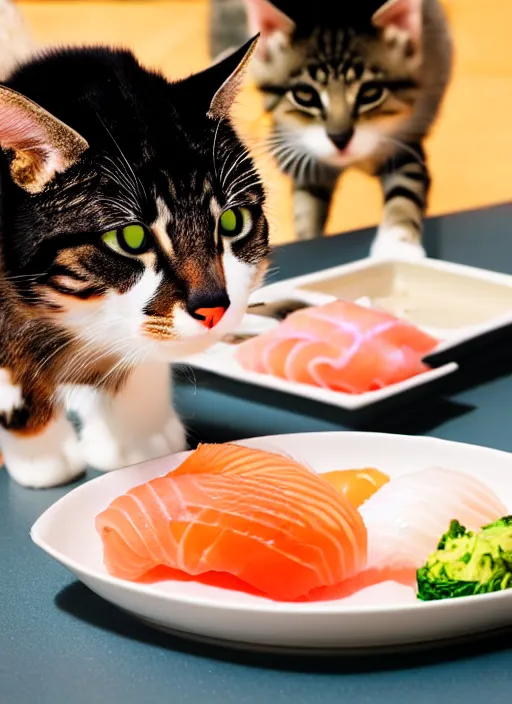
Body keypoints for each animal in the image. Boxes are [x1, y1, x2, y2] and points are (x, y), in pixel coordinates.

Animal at [208, 0, 452, 258]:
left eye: (371, 93)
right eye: (304, 95)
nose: (340, 137)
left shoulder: (405, 141)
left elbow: (405, 188)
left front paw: (397, 245)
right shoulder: (301, 156)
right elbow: (306, 208)